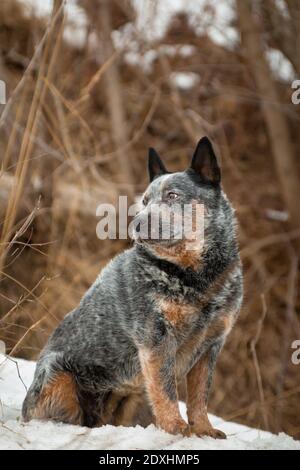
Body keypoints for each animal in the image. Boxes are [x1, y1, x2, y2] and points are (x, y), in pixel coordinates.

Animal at [23, 138, 244, 438]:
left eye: (173, 195)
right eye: (146, 200)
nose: (136, 223)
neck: (195, 278)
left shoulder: (211, 344)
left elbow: (200, 395)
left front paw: (203, 429)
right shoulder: (157, 339)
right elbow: (167, 391)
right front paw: (177, 428)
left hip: (136, 397)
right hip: (57, 377)